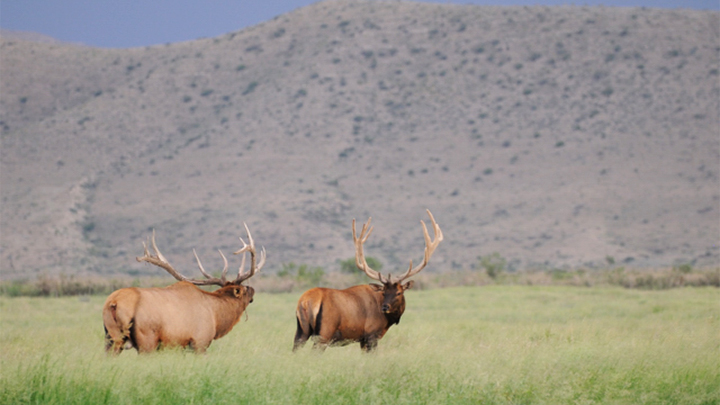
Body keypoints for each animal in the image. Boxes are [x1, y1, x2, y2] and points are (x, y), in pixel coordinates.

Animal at [102, 224, 266, 354]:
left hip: (111, 339)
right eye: (244, 288)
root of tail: (114, 302)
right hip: (146, 340)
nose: (252, 289)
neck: (217, 315)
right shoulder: (200, 342)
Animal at [292, 208, 438, 350]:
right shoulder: (371, 335)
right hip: (324, 333)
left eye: (398, 292)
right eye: (384, 292)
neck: (387, 320)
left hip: (301, 330)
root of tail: (305, 302)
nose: (385, 307)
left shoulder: (362, 340)